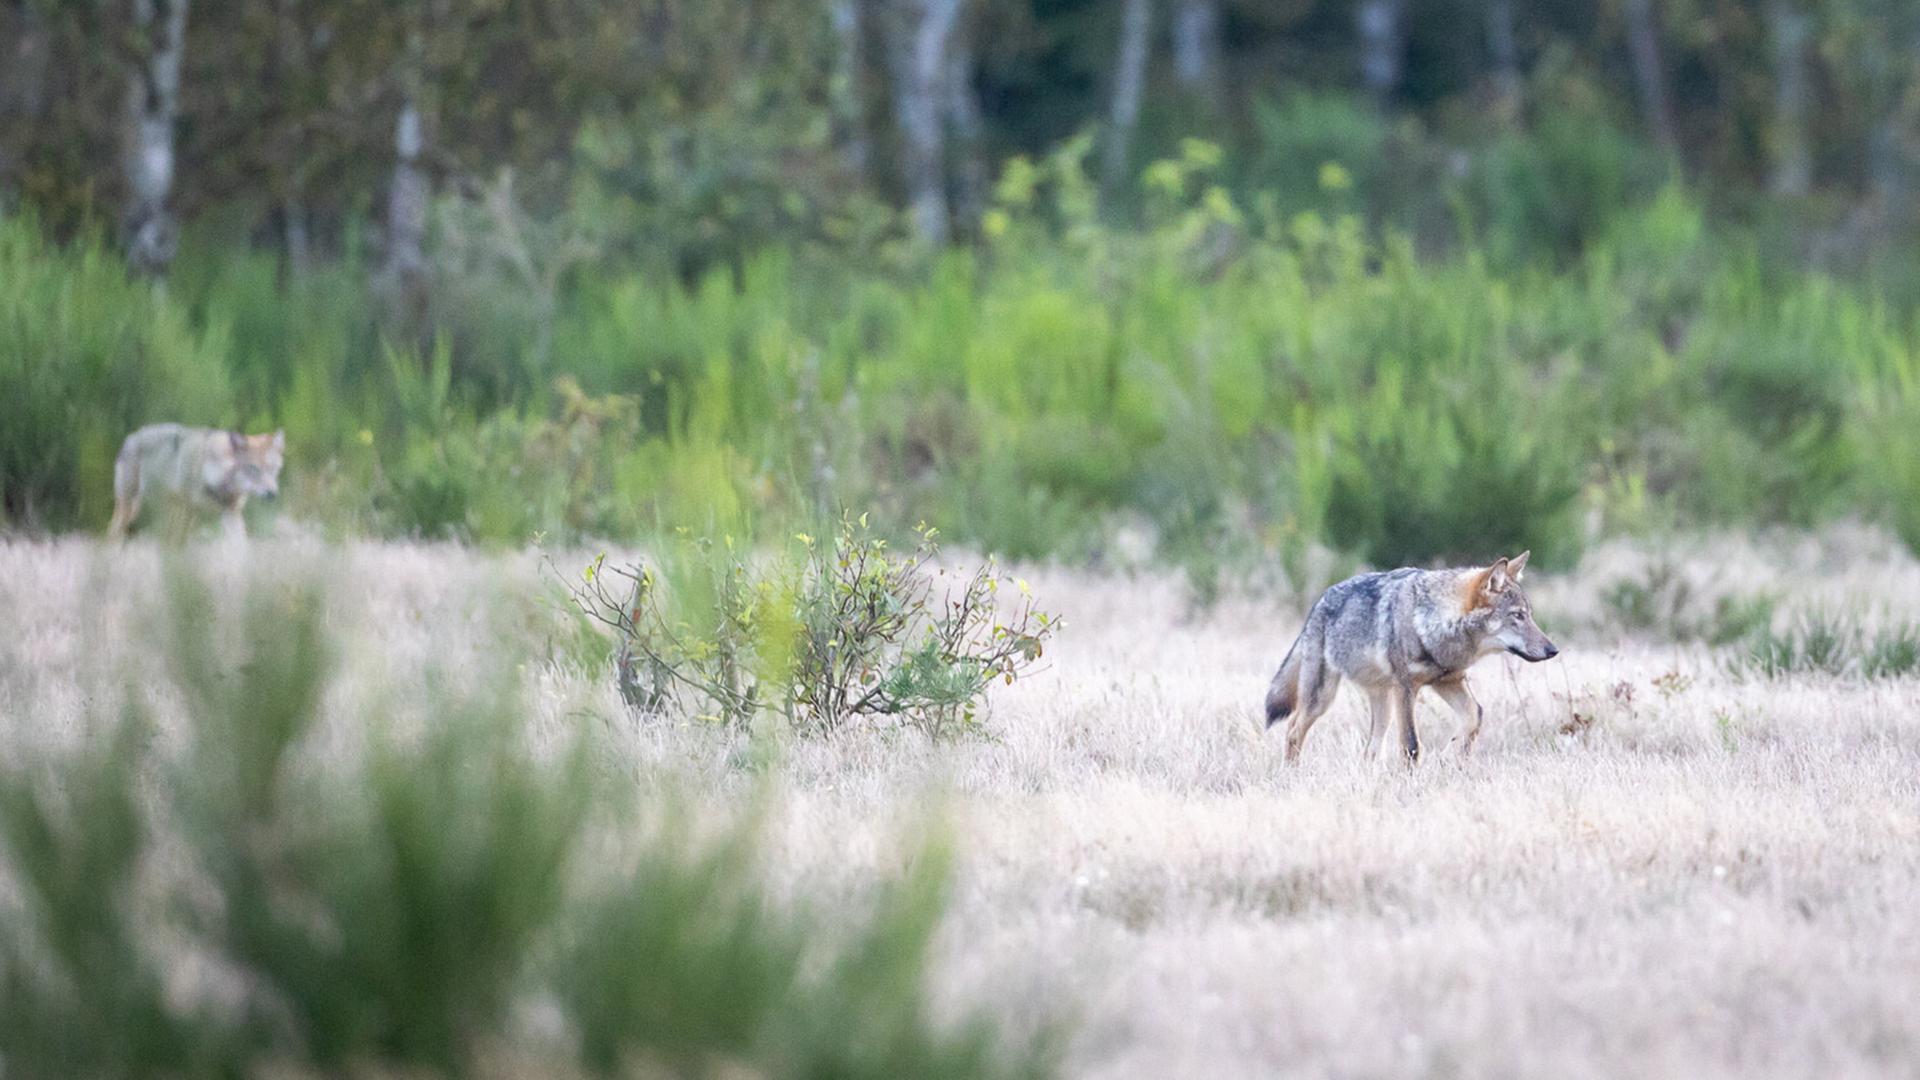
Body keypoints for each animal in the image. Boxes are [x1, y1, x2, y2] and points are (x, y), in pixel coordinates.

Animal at [107, 424, 284, 539]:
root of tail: (130, 437)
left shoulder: (231, 512)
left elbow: (240, 544)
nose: (273, 494)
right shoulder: (189, 511)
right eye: (254, 469)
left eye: (273, 468)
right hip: (131, 507)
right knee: (114, 532)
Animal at [1263, 552, 1558, 764]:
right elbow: (1412, 746)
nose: (1553, 650)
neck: (1432, 622)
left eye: (1529, 615)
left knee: (1370, 750)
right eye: (1517, 616)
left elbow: (1474, 717)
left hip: (1382, 705)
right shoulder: (1406, 688)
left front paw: (1449, 758)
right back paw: (1291, 774)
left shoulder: (1449, 681)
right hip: (1322, 699)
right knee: (1293, 729)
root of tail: (1319, 602)